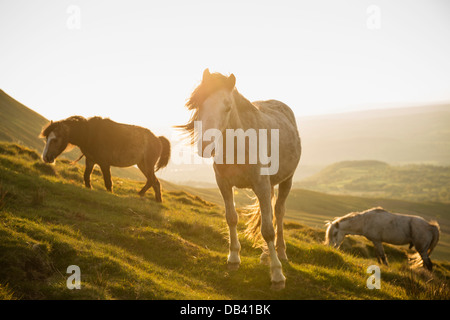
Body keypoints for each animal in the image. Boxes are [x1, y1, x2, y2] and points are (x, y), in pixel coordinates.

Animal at [40, 115, 171, 202]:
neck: (89, 134)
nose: (46, 157)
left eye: (55, 139)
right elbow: (86, 177)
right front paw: (89, 188)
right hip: (142, 164)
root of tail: (158, 139)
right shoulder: (90, 160)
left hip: (147, 165)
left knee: (154, 181)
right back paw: (150, 198)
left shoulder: (104, 163)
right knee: (153, 181)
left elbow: (108, 183)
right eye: (47, 138)